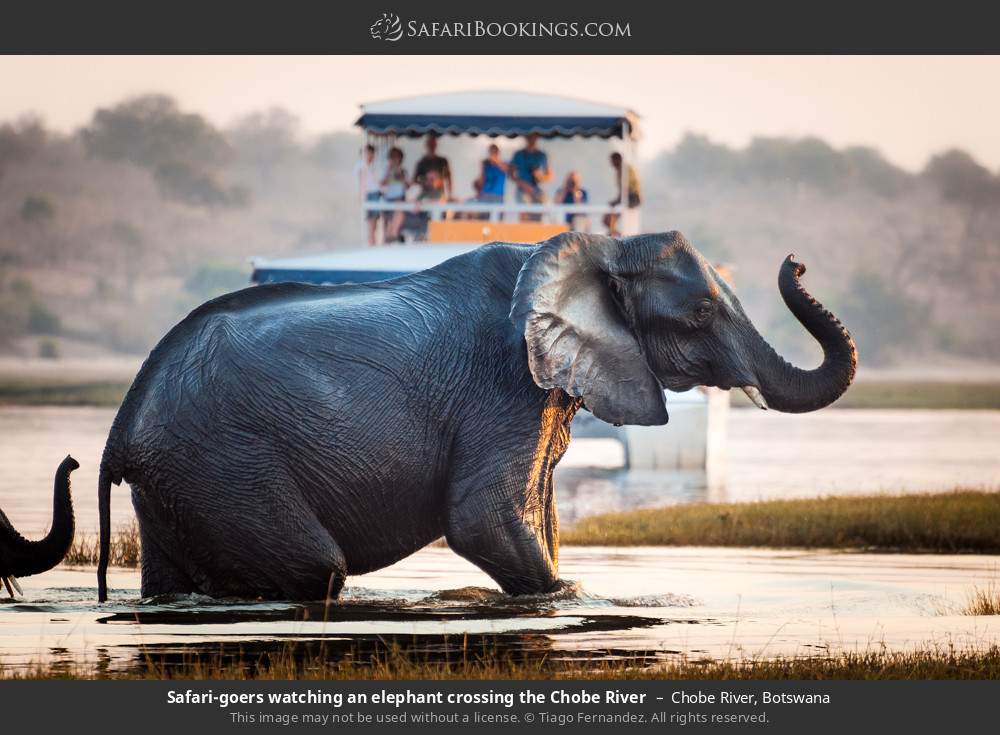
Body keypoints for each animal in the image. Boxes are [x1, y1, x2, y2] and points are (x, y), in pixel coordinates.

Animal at [84, 233, 852, 600]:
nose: (797, 261)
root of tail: (121, 432)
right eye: (697, 314)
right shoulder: (503, 385)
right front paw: (568, 597)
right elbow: (484, 518)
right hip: (224, 461)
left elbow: (539, 516)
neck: (594, 247)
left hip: (183, 481)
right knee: (315, 567)